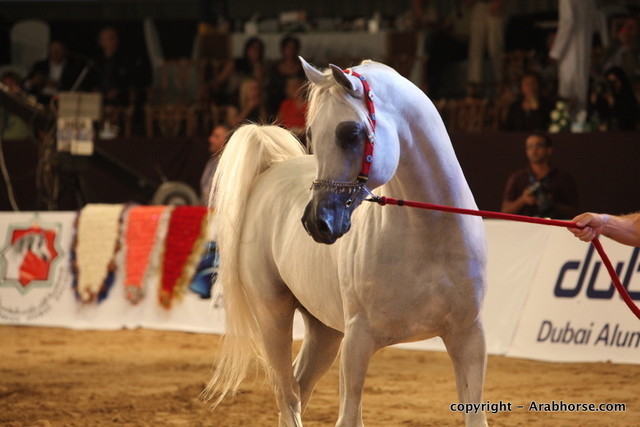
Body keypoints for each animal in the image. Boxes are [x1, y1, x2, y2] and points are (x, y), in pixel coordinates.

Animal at [205, 58, 488, 427]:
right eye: (311, 134)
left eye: (351, 133)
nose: (317, 222)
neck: (428, 237)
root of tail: (268, 171)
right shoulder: (358, 342)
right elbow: (349, 415)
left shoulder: (468, 337)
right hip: (273, 314)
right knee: (287, 395)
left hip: (324, 330)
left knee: (298, 386)